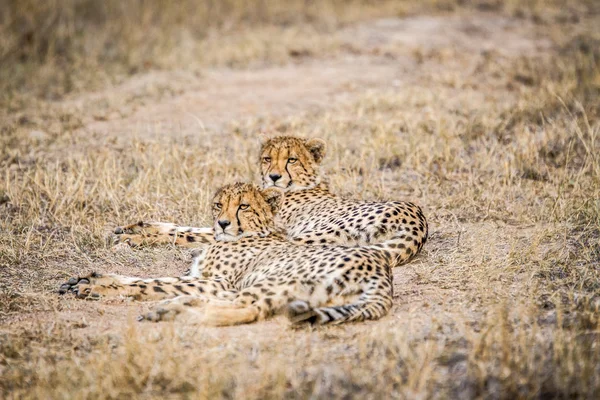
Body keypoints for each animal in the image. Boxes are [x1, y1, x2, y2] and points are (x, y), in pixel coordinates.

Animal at [62, 183, 404, 326]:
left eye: (243, 206)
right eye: (218, 204)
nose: (223, 223)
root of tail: (380, 269)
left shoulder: (219, 282)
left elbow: (154, 283)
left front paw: (94, 286)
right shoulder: (203, 276)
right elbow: (154, 278)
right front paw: (88, 278)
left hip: (271, 282)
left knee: (250, 309)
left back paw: (173, 312)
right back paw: (176, 307)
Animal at [112, 136, 426, 274]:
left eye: (291, 160)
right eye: (267, 159)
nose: (274, 176)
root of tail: (416, 217)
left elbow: (188, 233)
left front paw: (133, 238)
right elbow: (187, 226)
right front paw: (137, 226)